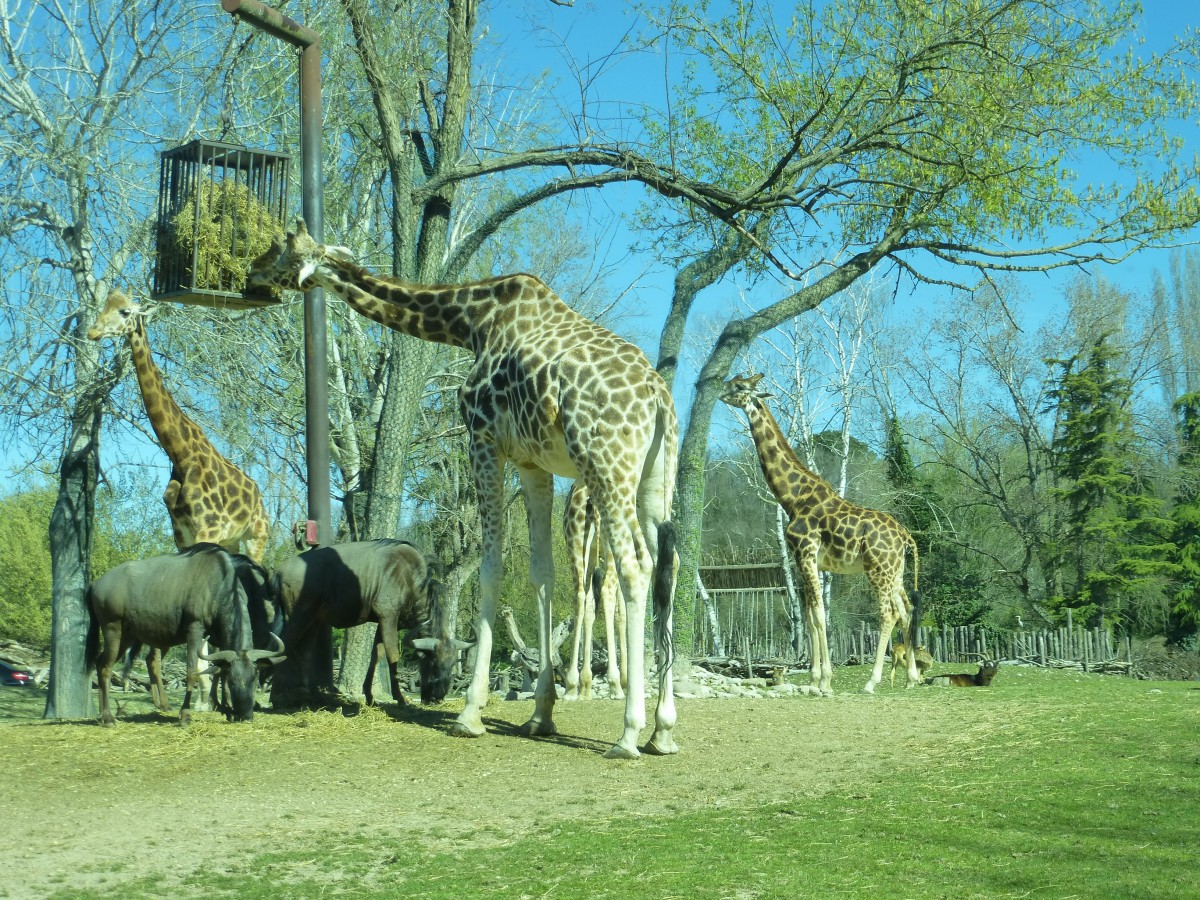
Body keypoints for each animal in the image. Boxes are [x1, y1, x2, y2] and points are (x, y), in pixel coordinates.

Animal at [561, 482, 628, 700]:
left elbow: (591, 606)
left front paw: (585, 685)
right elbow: (621, 613)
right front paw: (625, 680)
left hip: (575, 541)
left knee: (580, 596)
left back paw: (571, 686)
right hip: (610, 544)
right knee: (606, 591)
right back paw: (615, 684)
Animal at [715, 374, 921, 696]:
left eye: (739, 386)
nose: (718, 391)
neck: (792, 498)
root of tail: (905, 536)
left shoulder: (807, 554)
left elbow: (819, 615)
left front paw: (825, 680)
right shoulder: (803, 562)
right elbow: (810, 617)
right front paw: (813, 679)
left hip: (877, 569)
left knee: (888, 613)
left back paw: (871, 681)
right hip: (895, 571)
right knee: (906, 609)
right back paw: (912, 677)